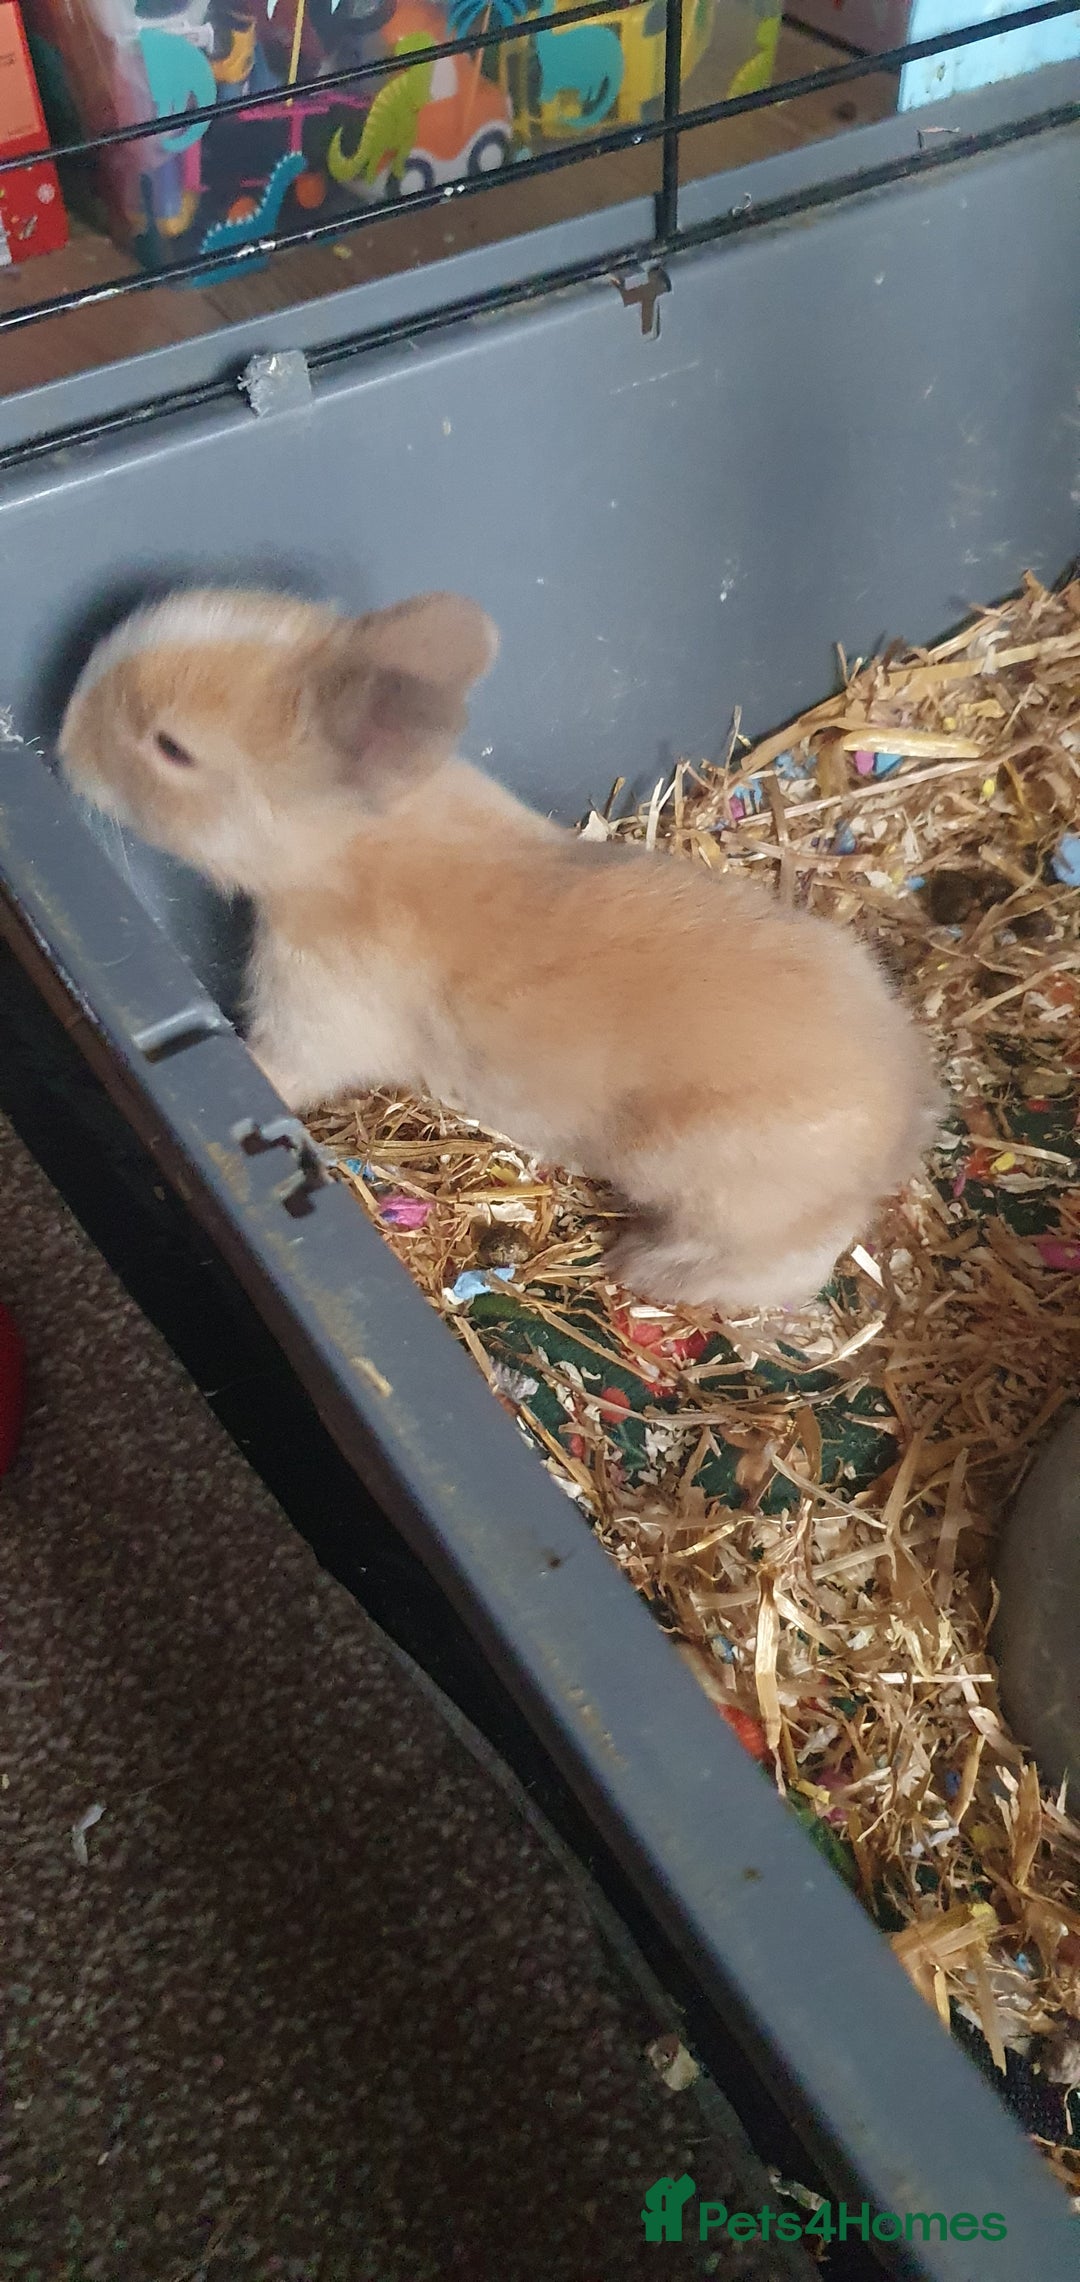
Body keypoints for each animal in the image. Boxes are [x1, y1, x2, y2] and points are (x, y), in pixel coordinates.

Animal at [59, 585, 942, 1315]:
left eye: (171, 748)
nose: (63, 745)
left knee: (783, 1264)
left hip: (710, 1188)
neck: (350, 842)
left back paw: (641, 1267)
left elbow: (281, 1073)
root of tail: (903, 1113)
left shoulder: (317, 1021)